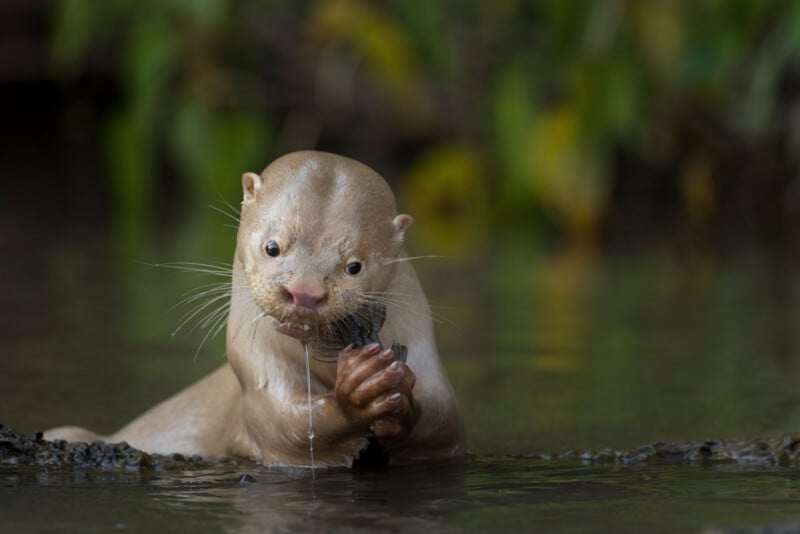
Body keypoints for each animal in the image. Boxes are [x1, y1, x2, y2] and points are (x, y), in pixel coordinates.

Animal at [46, 151, 467, 467]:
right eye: (272, 246)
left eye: (355, 266)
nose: (304, 292)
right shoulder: (257, 370)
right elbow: (286, 425)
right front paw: (362, 388)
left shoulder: (423, 355)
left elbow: (443, 420)